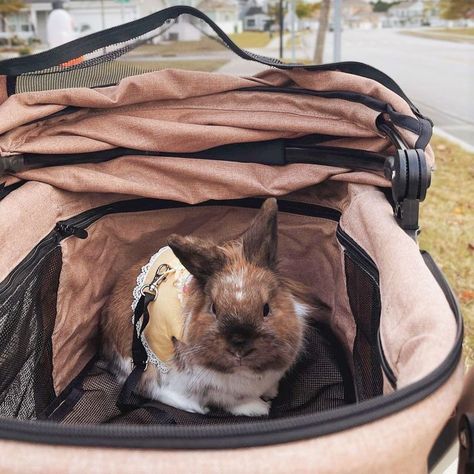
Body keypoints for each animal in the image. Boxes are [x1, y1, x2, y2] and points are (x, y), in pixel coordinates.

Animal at [102, 198, 328, 416]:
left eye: (266, 309)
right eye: (213, 309)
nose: (239, 346)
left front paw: (272, 392)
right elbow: (231, 402)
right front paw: (258, 408)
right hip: (145, 366)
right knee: (151, 388)